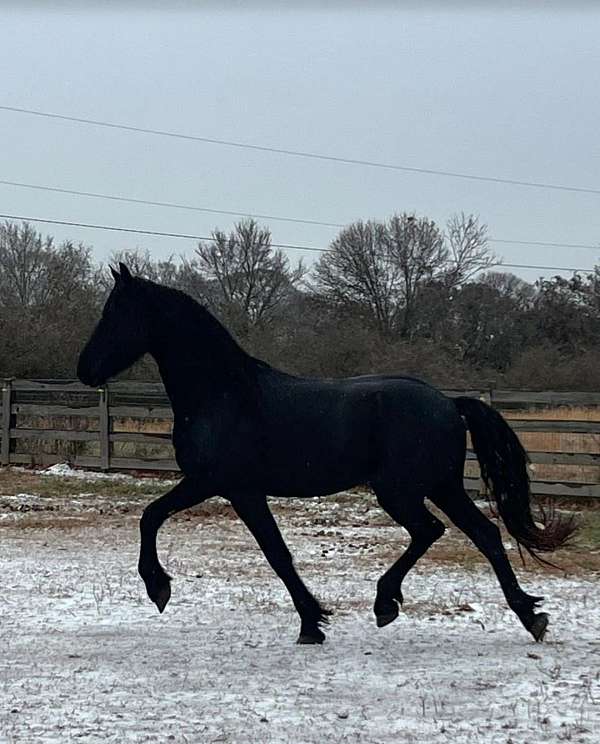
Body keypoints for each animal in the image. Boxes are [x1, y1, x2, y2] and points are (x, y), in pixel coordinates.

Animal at [77, 263, 574, 645]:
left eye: (115, 312)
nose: (84, 370)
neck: (224, 394)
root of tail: (450, 404)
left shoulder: (228, 486)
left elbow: (267, 552)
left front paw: (308, 624)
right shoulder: (222, 487)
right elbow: (160, 519)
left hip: (402, 491)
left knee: (431, 531)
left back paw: (387, 602)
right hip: (441, 486)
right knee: (484, 534)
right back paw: (530, 616)